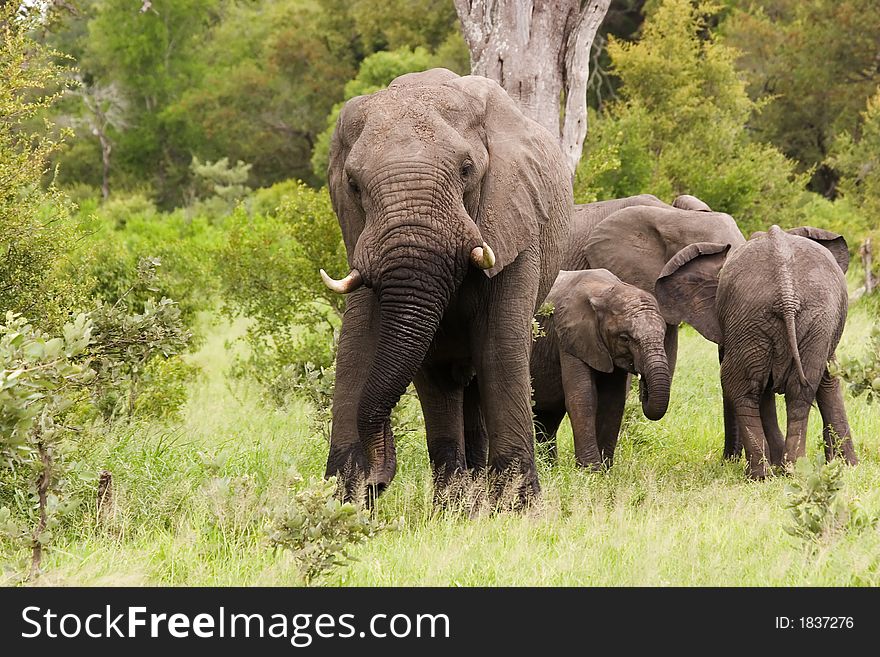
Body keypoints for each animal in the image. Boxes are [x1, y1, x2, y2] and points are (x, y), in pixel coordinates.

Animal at [322, 68, 572, 502]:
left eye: (466, 169)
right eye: (352, 184)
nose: (378, 479)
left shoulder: (514, 221)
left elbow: (500, 345)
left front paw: (518, 507)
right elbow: (364, 343)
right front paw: (346, 500)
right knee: (444, 379)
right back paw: (456, 500)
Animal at [528, 270, 672, 468]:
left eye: (663, 335)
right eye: (625, 338)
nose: (644, 388)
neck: (606, 291)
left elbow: (613, 401)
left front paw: (605, 469)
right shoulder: (569, 337)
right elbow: (583, 398)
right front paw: (591, 469)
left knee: (548, 418)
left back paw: (550, 467)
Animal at [660, 226, 860, 476]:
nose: (727, 459)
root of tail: (786, 292)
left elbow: (828, 379)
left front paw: (847, 465)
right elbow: (825, 379)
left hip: (777, 316)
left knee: (741, 386)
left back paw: (763, 474)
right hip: (790, 317)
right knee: (793, 389)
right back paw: (788, 469)